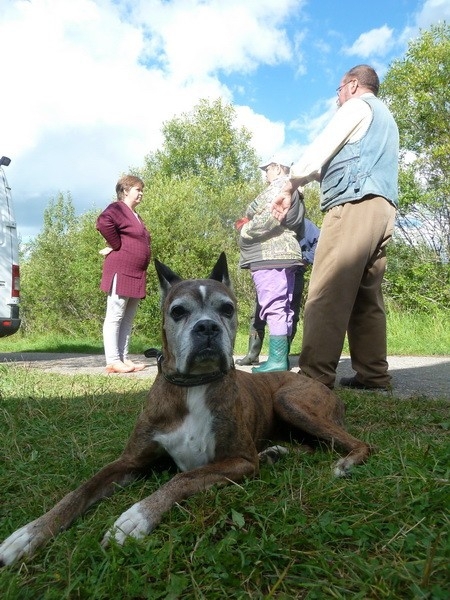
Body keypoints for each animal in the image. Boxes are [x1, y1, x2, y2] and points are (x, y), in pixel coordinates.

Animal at [0, 253, 372, 568]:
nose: (207, 327)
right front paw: (29, 533)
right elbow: (80, 491)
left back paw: (344, 462)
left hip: (290, 401)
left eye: (227, 309)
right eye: (178, 311)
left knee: (359, 443)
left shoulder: (238, 461)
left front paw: (135, 517)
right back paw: (275, 452)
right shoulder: (128, 463)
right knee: (309, 445)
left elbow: (183, 478)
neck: (193, 385)